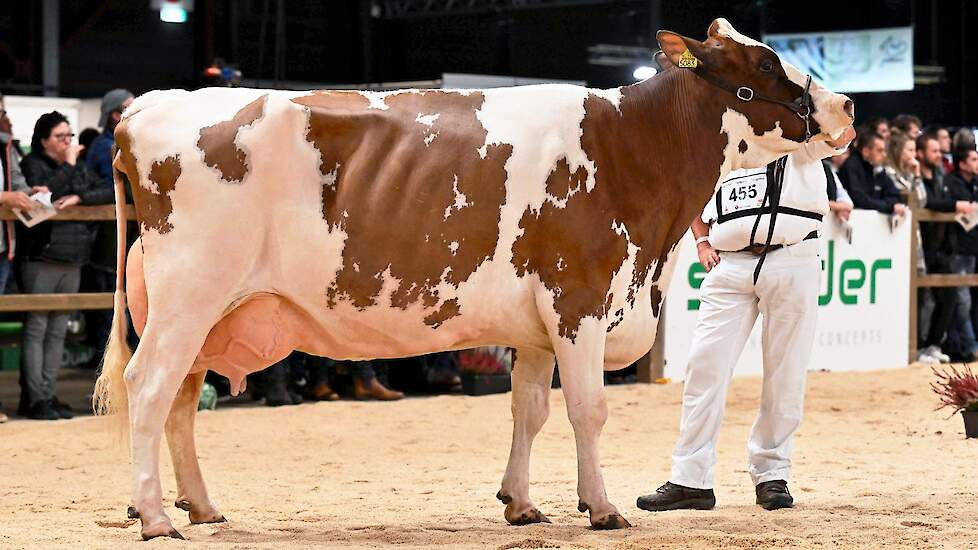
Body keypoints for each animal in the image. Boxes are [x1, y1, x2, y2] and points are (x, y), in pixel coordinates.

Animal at [95, 19, 852, 540]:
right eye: (766, 62)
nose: (845, 106)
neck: (630, 151)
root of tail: (146, 107)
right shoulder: (578, 300)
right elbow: (588, 409)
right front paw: (602, 508)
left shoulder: (538, 324)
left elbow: (530, 410)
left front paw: (523, 504)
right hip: (190, 294)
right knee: (150, 388)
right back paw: (157, 518)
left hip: (203, 310)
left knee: (182, 400)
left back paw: (201, 507)